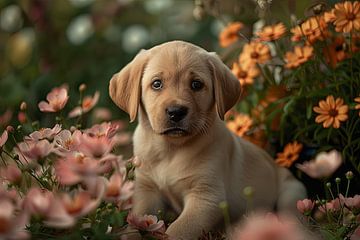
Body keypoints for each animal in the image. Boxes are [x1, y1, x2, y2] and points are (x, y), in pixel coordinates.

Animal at [108, 40, 306, 238]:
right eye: (156, 84)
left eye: (196, 84)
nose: (176, 112)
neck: (171, 149)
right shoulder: (146, 191)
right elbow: (134, 222)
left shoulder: (206, 197)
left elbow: (178, 230)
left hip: (292, 193)